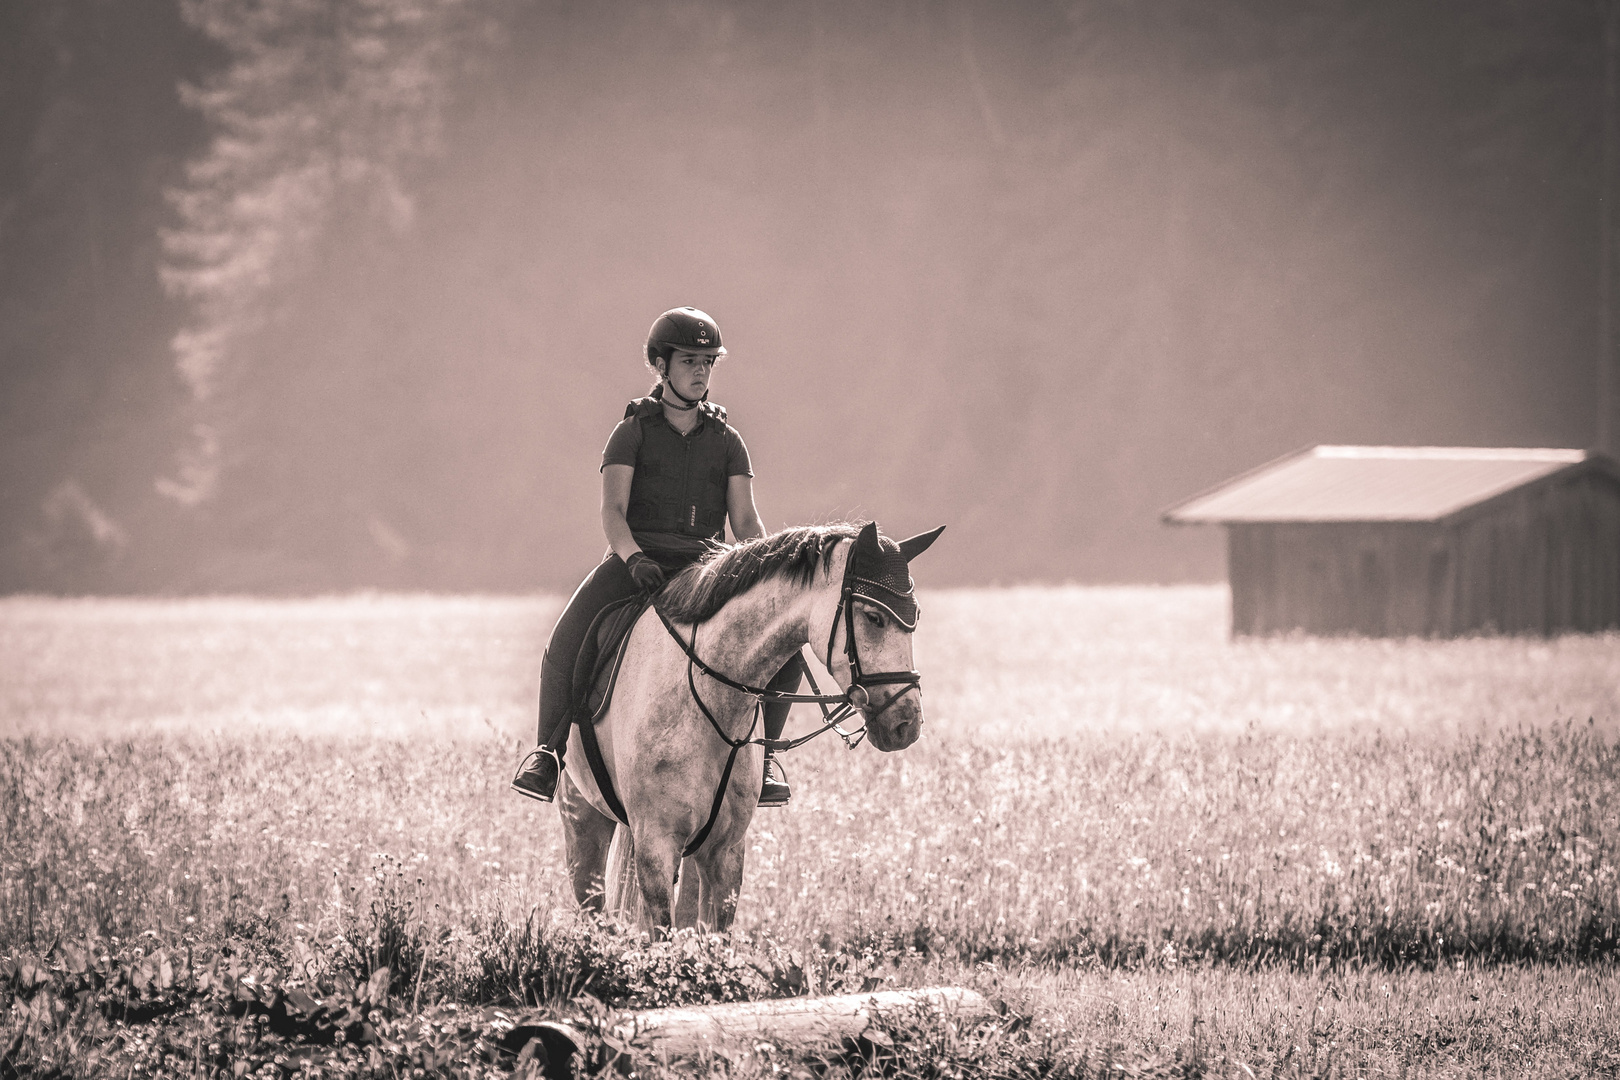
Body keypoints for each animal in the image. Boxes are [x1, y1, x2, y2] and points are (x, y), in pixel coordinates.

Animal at [554, 518, 939, 932]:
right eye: (874, 617)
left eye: (915, 619)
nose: (907, 724)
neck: (710, 699)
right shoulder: (655, 847)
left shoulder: (725, 852)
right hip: (582, 821)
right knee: (593, 909)